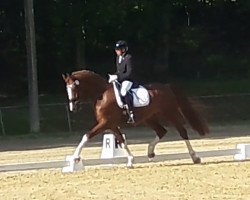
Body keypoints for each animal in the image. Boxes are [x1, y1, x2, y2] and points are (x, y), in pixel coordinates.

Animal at [62, 69, 209, 166]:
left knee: (182, 132)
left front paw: (74, 158)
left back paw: (195, 157)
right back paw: (150, 153)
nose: (73, 107)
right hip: (149, 118)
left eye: (73, 87)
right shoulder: (111, 125)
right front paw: (130, 160)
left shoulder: (105, 123)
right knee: (161, 131)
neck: (101, 95)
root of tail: (167, 87)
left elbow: (86, 136)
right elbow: (121, 141)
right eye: (67, 89)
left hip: (170, 113)